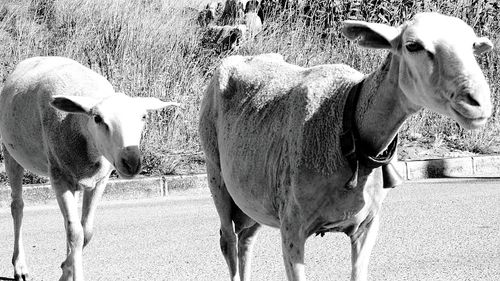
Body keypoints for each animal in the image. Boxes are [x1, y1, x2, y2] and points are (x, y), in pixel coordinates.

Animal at [0, 55, 180, 278]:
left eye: (144, 117)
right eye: (97, 118)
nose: (131, 162)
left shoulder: (100, 179)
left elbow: (86, 231)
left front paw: (66, 269)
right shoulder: (59, 175)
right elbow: (75, 233)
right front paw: (70, 273)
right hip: (11, 153)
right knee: (17, 206)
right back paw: (20, 267)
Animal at [198, 12, 492, 278]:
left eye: (472, 46)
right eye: (413, 45)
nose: (478, 102)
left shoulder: (367, 224)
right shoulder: (292, 225)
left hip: (255, 195)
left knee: (247, 239)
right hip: (216, 173)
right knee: (228, 241)